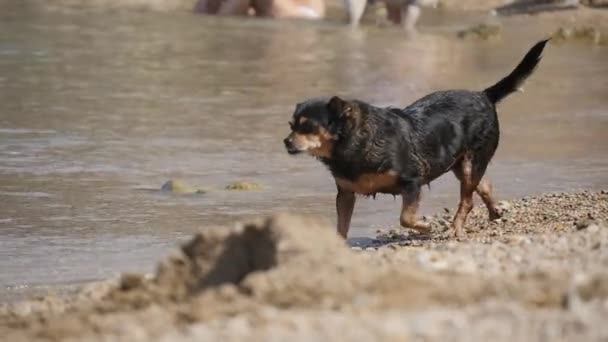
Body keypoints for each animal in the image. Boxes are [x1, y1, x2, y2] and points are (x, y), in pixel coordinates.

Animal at [282, 40, 548, 238]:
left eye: (308, 127)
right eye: (291, 126)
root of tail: (484, 96)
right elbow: (341, 226)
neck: (355, 143)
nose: (286, 142)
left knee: (467, 200)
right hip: (460, 164)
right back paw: (493, 213)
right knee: (483, 186)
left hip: (471, 161)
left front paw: (426, 227)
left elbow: (405, 218)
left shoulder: (412, 182)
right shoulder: (345, 194)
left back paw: (455, 228)